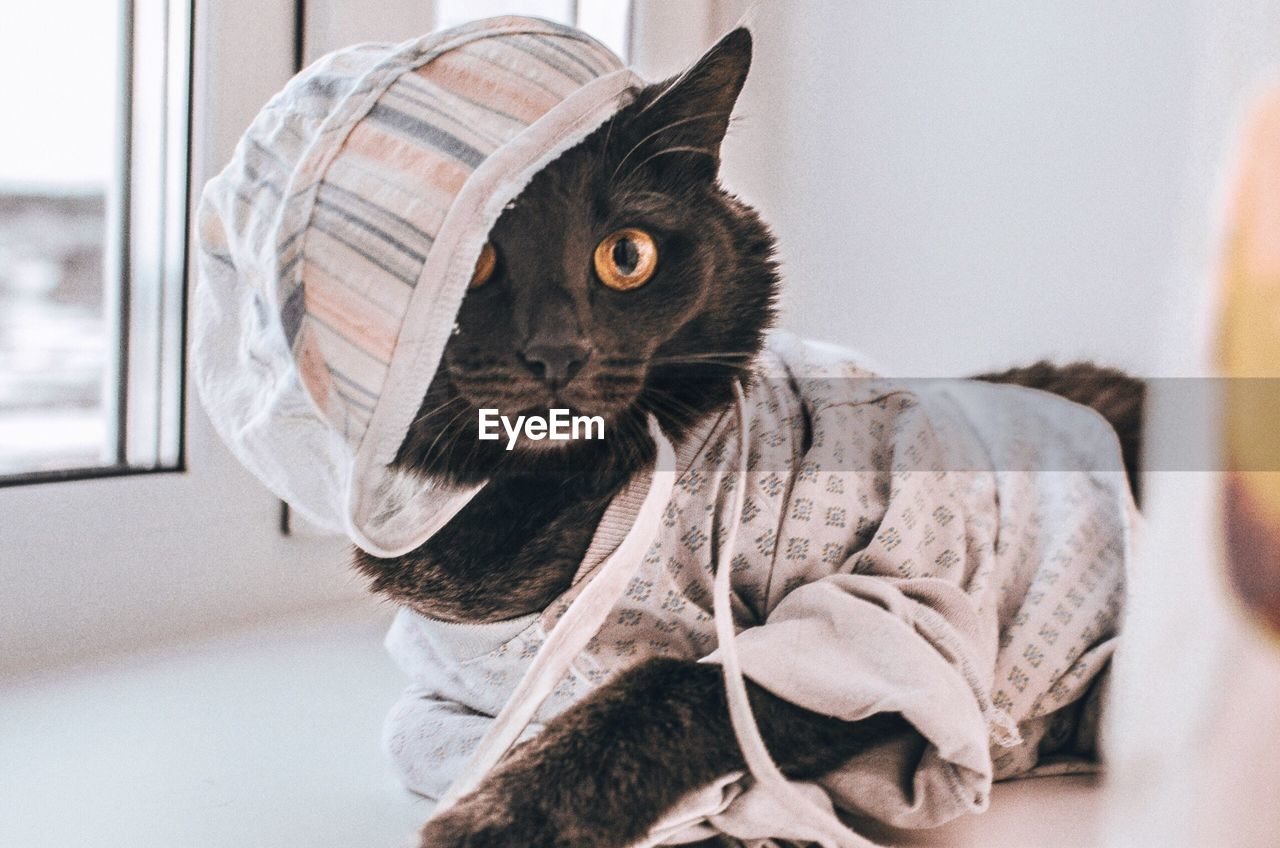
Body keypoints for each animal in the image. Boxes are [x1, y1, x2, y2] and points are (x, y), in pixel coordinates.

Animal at [350, 26, 1141, 848]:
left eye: (626, 255)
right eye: (471, 259)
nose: (558, 351)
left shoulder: (890, 615)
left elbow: (672, 686)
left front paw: (509, 814)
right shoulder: (448, 696)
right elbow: (420, 737)